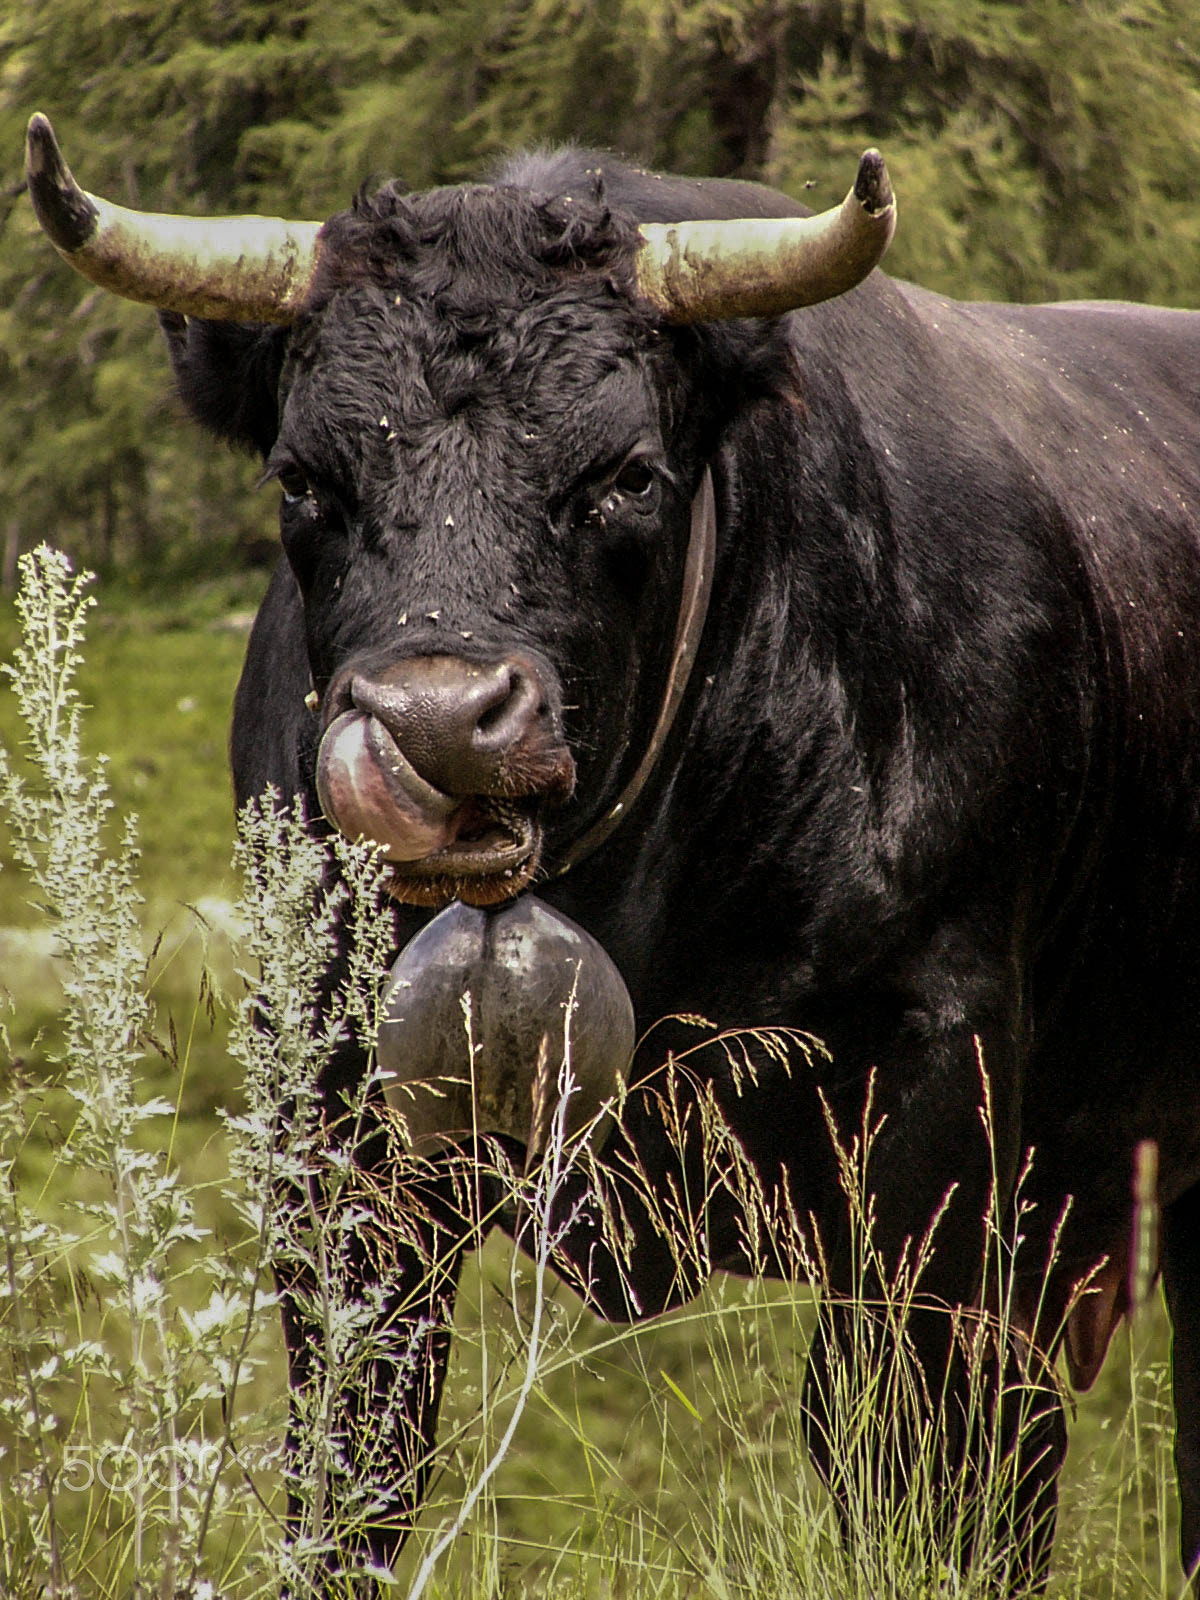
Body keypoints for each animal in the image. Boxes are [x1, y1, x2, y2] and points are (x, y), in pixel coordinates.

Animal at [28, 124, 1200, 1587]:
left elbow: (914, 1472)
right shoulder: (334, 1131)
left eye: (626, 474)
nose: (435, 724)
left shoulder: (942, 1137)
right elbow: (352, 1469)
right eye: (301, 477)